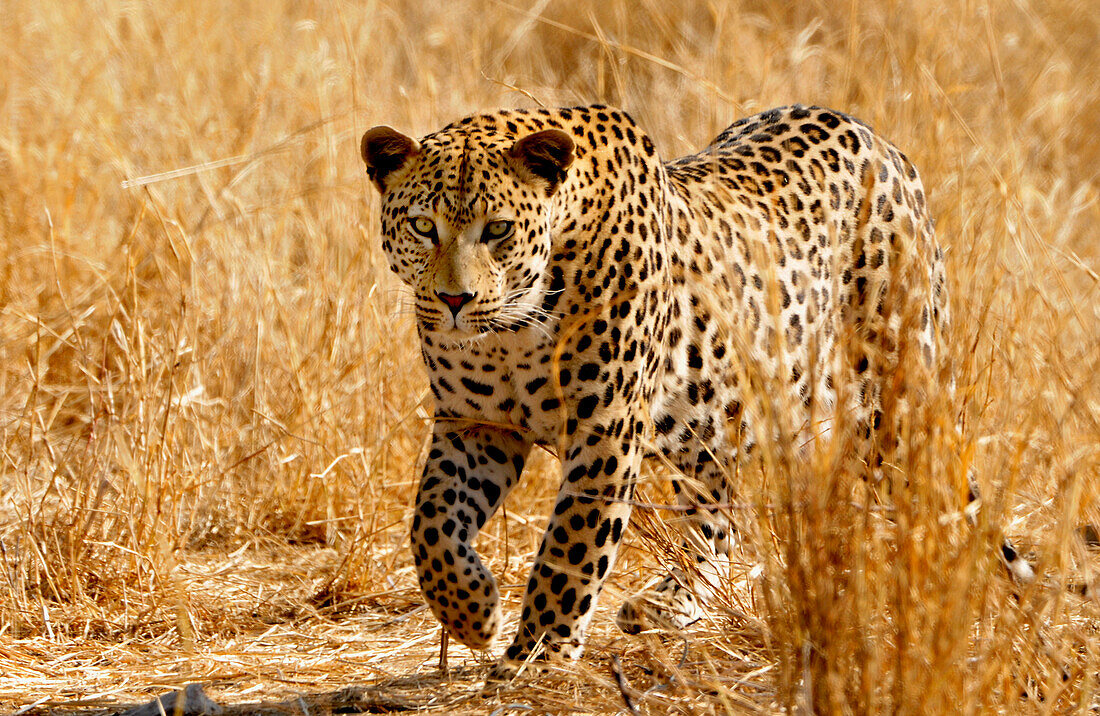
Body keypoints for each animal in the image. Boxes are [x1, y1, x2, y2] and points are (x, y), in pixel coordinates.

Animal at [358, 103, 1029, 673]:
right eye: (423, 226)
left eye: (497, 230)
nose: (454, 299)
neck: (508, 331)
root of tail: (885, 146)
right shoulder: (473, 424)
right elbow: (431, 524)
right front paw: (470, 611)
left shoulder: (605, 434)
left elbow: (569, 550)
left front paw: (537, 656)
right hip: (719, 417)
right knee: (719, 514)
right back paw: (666, 602)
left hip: (895, 406)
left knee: (940, 504)